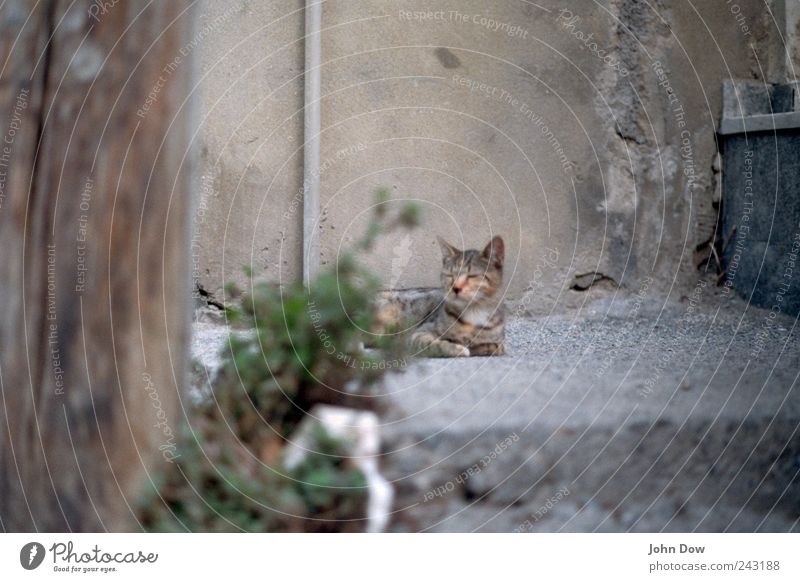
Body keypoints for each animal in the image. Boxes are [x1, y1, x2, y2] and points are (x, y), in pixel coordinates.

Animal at [376, 236, 506, 356]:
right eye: (449, 275)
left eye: (472, 276)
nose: (455, 288)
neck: (474, 312)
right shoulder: (420, 333)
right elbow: (432, 345)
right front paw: (455, 348)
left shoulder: (497, 342)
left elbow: (494, 346)